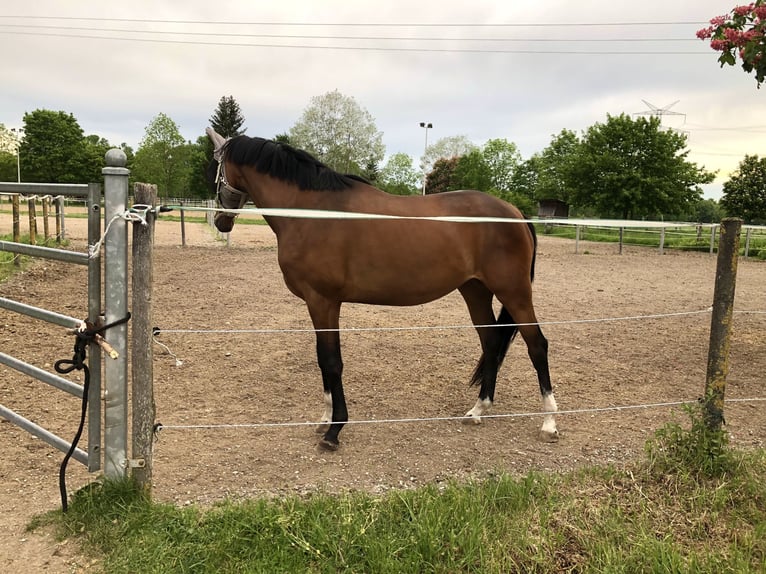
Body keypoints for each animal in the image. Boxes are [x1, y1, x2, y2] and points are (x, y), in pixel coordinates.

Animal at [207, 128, 560, 452]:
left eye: (216, 168)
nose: (221, 221)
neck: (314, 211)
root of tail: (514, 212)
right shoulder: (318, 303)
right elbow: (322, 359)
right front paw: (325, 418)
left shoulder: (323, 300)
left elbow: (331, 361)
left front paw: (334, 430)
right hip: (475, 290)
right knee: (491, 342)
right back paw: (478, 409)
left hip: (514, 291)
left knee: (537, 345)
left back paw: (549, 422)